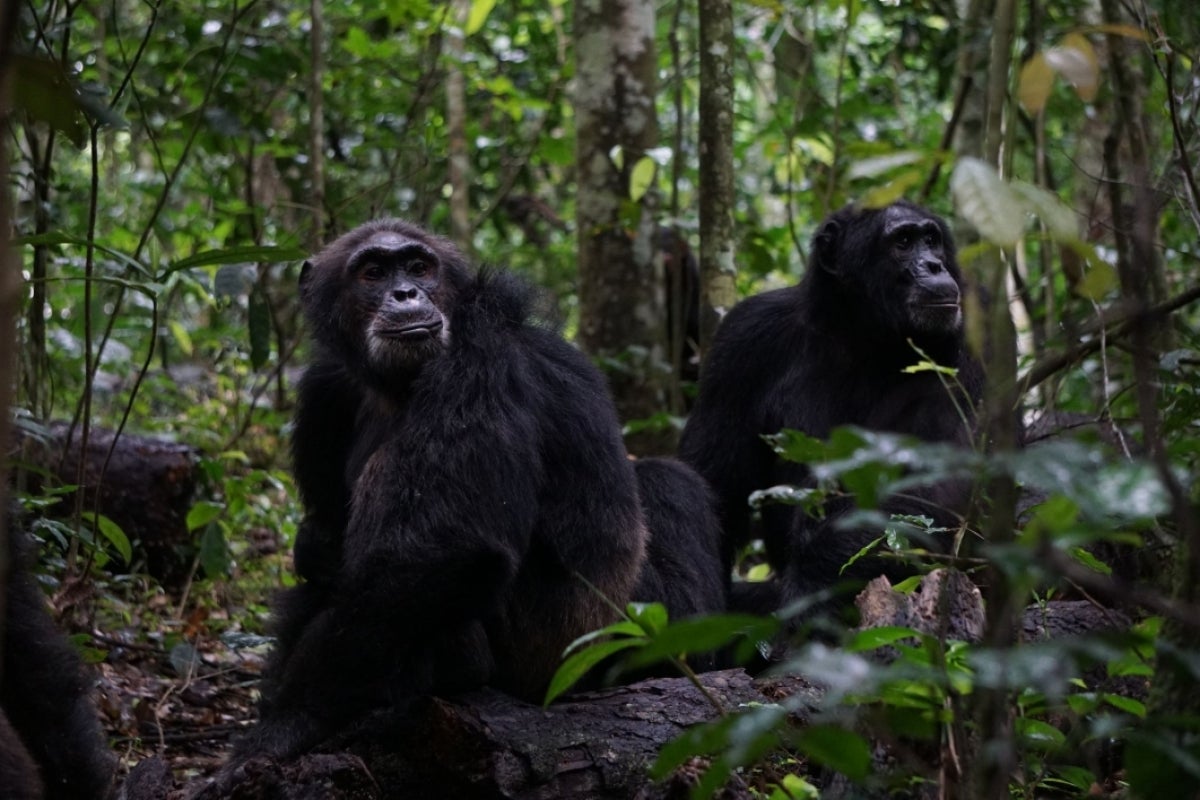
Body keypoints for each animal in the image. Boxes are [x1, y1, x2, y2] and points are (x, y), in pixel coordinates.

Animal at [231, 219, 720, 762]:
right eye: (373, 272)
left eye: (419, 266)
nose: (406, 293)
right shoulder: (325, 389)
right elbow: (324, 538)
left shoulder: (481, 362)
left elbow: (445, 549)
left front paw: (288, 722)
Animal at [681, 200, 979, 614]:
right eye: (903, 242)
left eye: (931, 239)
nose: (935, 265)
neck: (861, 334)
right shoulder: (743, 339)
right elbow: (713, 481)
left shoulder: (964, 345)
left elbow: (932, 484)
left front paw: (810, 592)